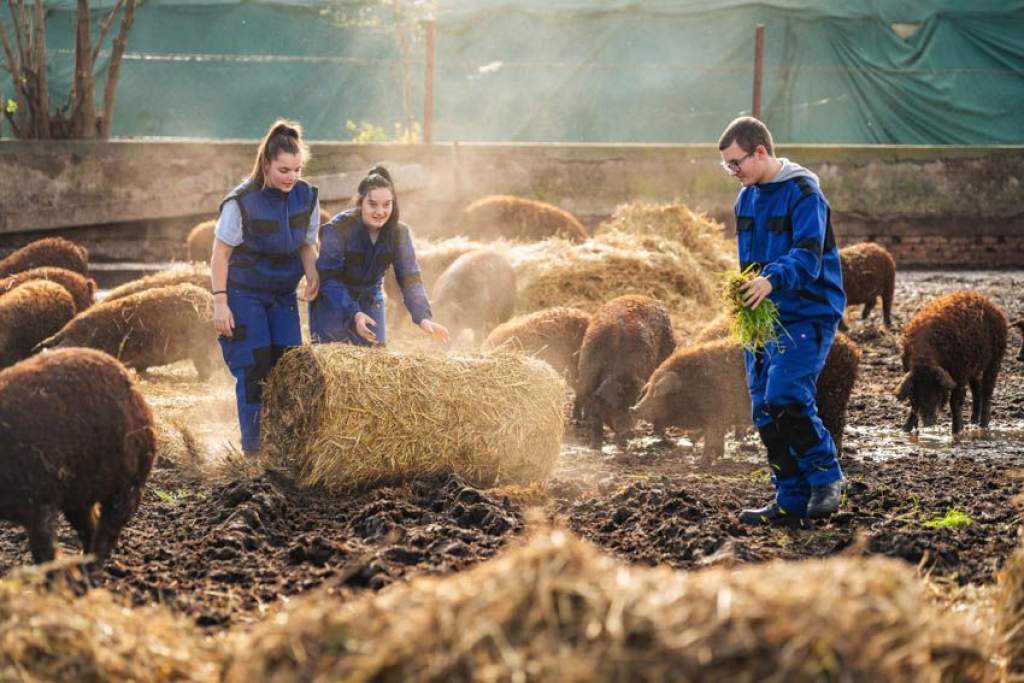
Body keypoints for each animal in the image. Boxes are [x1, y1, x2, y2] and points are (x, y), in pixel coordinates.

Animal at [0, 348, 154, 565]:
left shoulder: (40, 501)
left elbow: (44, 552)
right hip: (79, 496)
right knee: (90, 526)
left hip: (129, 484)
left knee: (107, 529)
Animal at [581, 294, 675, 448]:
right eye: (613, 406)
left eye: (633, 404)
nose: (629, 432)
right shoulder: (587, 383)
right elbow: (595, 417)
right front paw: (595, 446)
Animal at [897, 288, 1007, 432]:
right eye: (918, 392)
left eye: (937, 390)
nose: (928, 422)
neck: (925, 360)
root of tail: (993, 306)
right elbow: (913, 405)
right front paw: (905, 430)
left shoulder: (960, 372)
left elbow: (955, 401)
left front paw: (957, 431)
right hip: (974, 367)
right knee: (977, 388)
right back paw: (973, 422)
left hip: (995, 359)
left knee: (987, 390)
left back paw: (983, 426)